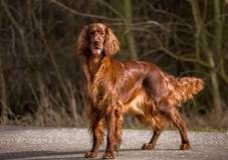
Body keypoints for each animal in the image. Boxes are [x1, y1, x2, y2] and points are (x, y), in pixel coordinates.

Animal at [76, 22, 203, 159]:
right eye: (91, 33)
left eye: (103, 34)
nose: (97, 42)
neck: (97, 67)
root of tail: (160, 72)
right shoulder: (95, 107)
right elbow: (96, 133)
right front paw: (93, 152)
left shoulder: (111, 107)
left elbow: (110, 134)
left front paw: (109, 153)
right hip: (143, 109)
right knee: (159, 125)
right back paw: (150, 145)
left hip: (161, 103)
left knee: (179, 121)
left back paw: (185, 143)